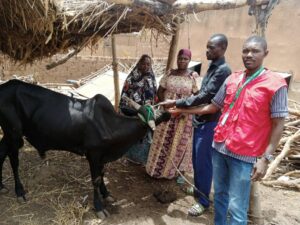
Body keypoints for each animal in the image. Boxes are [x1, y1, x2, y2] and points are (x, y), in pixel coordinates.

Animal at [0, 79, 170, 218]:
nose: (168, 113)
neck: (110, 124)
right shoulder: (93, 154)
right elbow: (96, 179)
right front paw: (99, 207)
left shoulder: (102, 156)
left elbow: (102, 175)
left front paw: (106, 194)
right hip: (13, 134)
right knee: (14, 161)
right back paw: (19, 191)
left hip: (8, 135)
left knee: (1, 153)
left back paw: (2, 186)